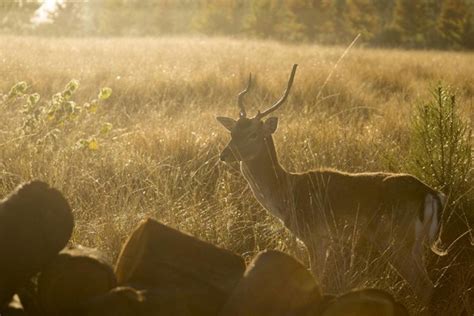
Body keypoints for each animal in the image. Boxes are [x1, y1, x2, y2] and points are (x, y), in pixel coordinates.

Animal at [217, 63, 446, 304]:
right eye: (232, 131)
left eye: (253, 134)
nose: (224, 155)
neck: (287, 192)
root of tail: (431, 194)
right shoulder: (326, 240)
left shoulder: (315, 236)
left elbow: (315, 278)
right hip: (415, 246)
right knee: (429, 285)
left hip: (396, 240)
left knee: (424, 286)